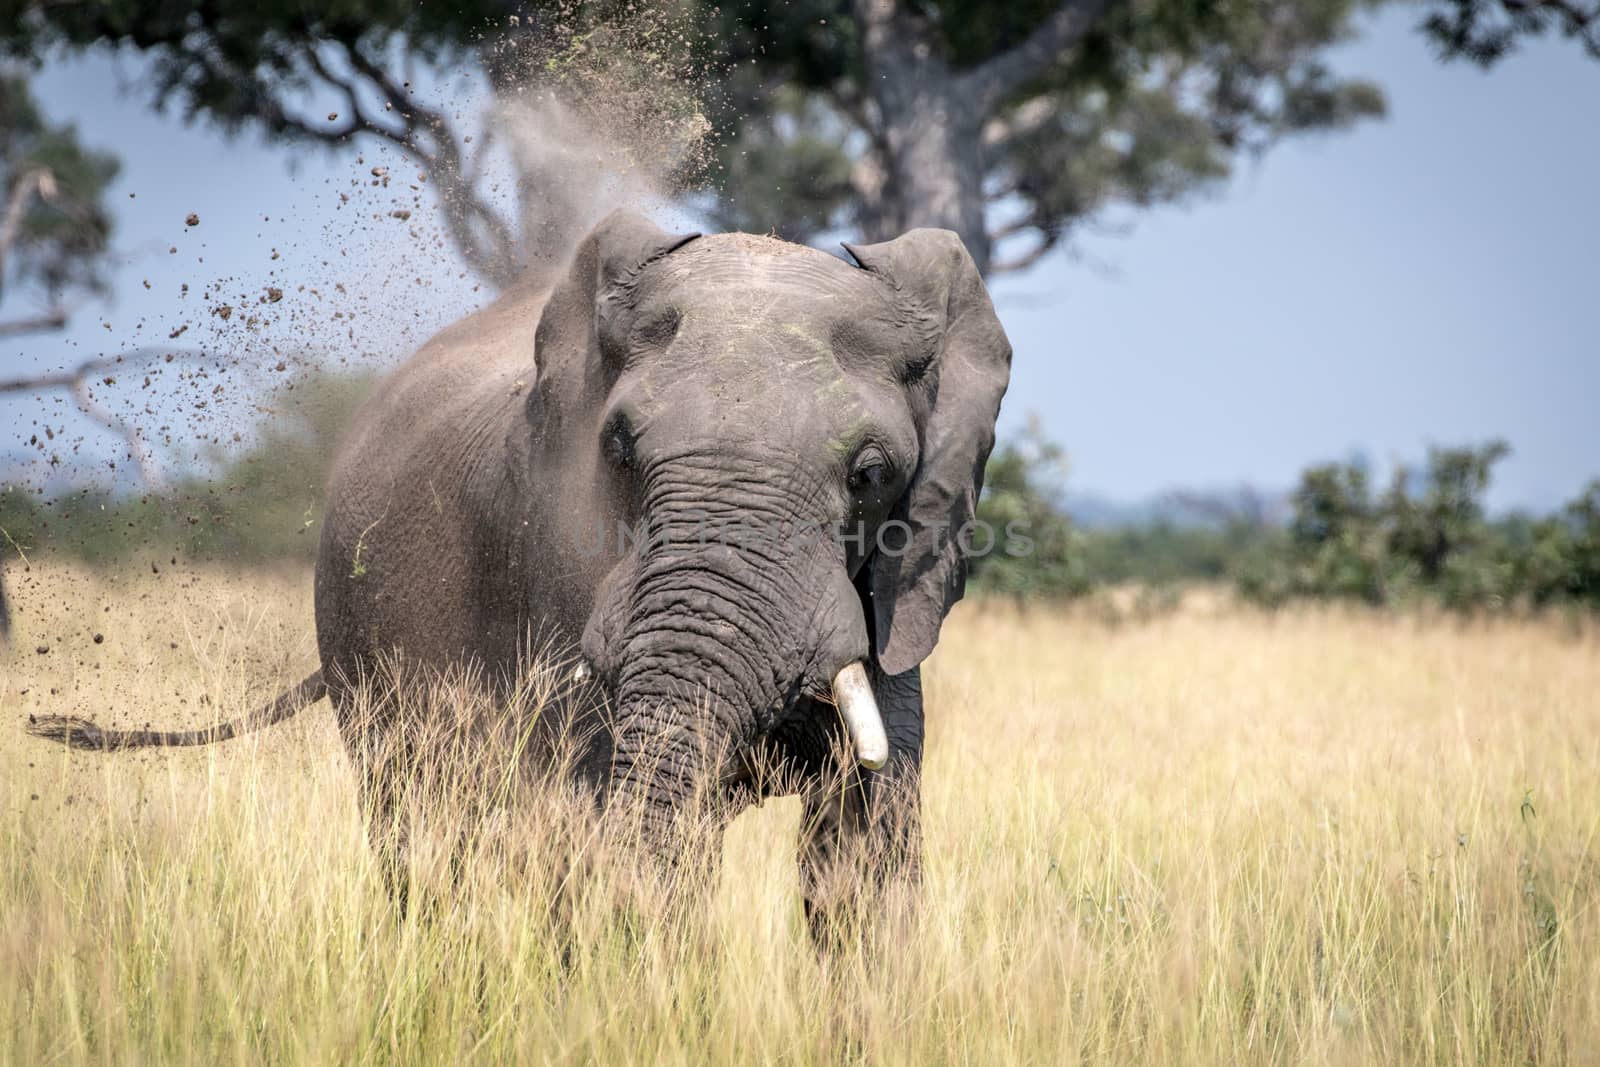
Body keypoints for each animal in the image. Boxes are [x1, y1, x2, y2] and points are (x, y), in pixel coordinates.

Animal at [28, 212, 1011, 940]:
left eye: (872, 473)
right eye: (619, 449)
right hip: (354, 637)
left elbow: (863, 861)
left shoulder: (892, 601)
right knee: (424, 837)